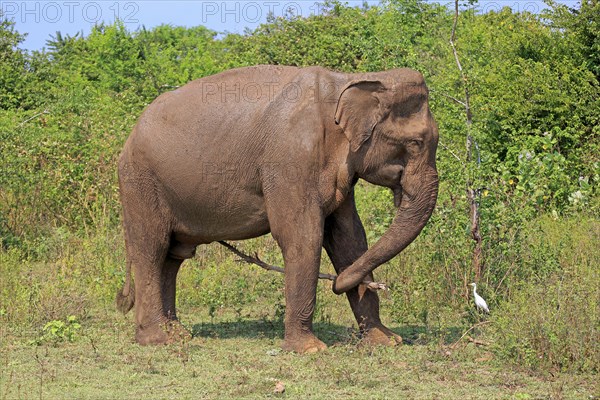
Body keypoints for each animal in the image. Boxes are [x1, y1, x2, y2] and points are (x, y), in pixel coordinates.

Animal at [115, 65, 438, 354]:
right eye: (414, 143)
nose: (336, 283)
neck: (349, 80)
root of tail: (129, 138)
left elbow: (350, 238)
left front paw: (387, 340)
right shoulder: (290, 160)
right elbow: (303, 236)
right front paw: (310, 349)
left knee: (173, 256)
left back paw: (178, 334)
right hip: (140, 183)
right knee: (152, 249)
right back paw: (157, 339)